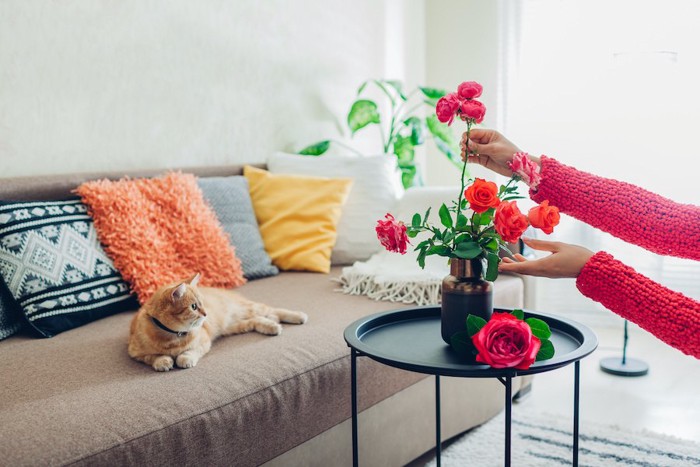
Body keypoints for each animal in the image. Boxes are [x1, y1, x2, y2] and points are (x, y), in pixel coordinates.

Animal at [128, 274, 306, 372]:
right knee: (258, 320)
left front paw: (184, 359)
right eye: (194, 306)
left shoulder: (204, 342)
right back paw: (272, 326)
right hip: (236, 325)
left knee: (272, 309)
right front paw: (163, 361)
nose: (206, 314)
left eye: (202, 303)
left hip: (247, 309)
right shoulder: (135, 353)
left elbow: (190, 352)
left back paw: (298, 316)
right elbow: (152, 356)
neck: (172, 338)